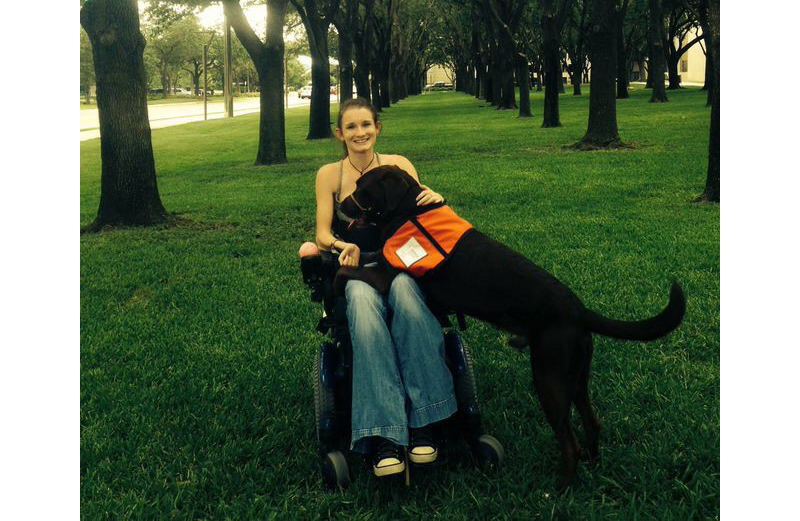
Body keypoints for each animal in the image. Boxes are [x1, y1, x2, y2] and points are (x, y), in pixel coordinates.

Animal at [340, 165, 688, 490]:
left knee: (569, 442)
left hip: (549, 379)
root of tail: (578, 311)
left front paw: (339, 270)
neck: (410, 210)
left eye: (361, 187)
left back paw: (560, 489)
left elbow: (348, 272)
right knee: (592, 423)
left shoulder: (385, 276)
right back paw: (593, 464)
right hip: (576, 379)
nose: (341, 205)